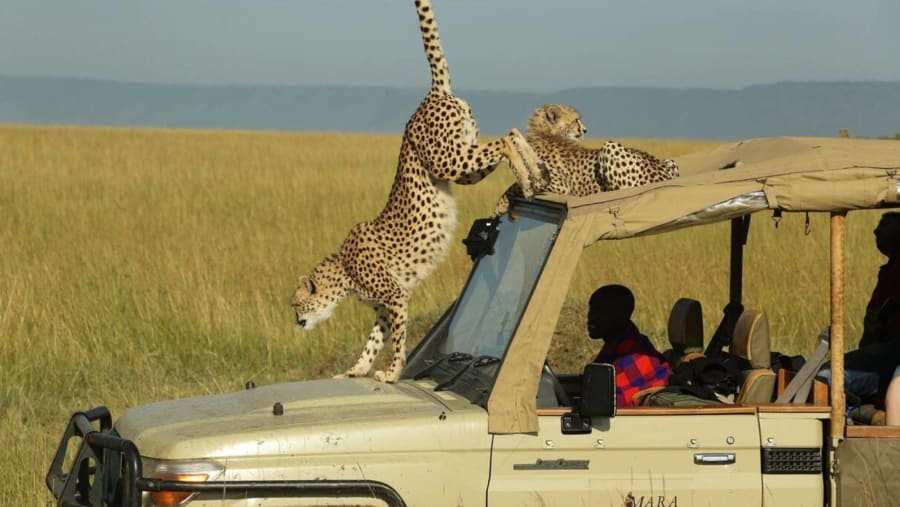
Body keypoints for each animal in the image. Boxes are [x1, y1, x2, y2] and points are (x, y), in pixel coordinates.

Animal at [292, 0, 542, 383]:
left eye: (296, 304)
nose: (296, 321)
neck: (343, 272)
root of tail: (431, 94)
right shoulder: (384, 305)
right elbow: (373, 340)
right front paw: (357, 369)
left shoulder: (395, 295)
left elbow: (398, 339)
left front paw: (392, 372)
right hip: (463, 162)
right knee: (512, 133)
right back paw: (535, 174)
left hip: (449, 160)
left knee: (506, 140)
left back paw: (529, 178)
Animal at [494, 103, 679, 216]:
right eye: (576, 120)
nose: (585, 130)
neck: (545, 133)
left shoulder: (559, 185)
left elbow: (518, 183)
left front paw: (501, 204)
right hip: (670, 162)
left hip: (610, 146)